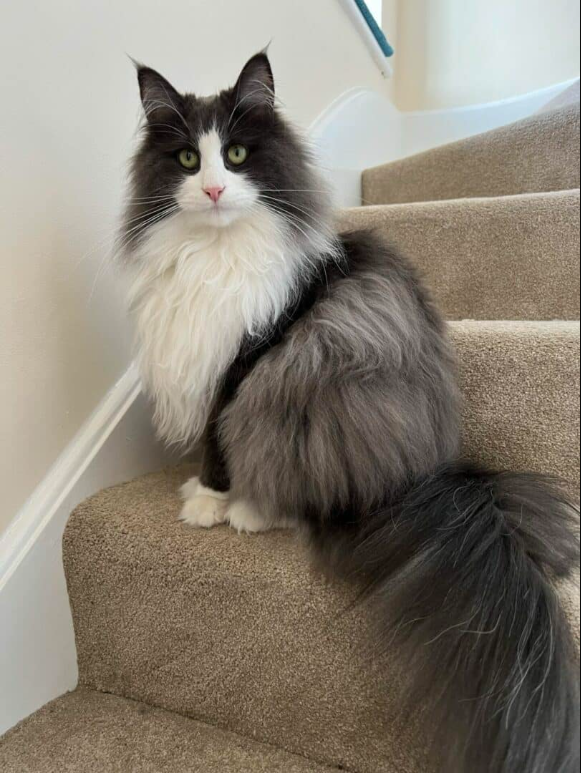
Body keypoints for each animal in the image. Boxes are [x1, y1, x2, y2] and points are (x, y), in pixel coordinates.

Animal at [120, 51, 576, 768]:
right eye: (189, 160)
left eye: (238, 154)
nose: (214, 191)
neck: (214, 257)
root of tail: (428, 476)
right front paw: (201, 491)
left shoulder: (243, 365)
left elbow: (217, 441)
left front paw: (207, 501)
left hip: (298, 388)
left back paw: (252, 512)